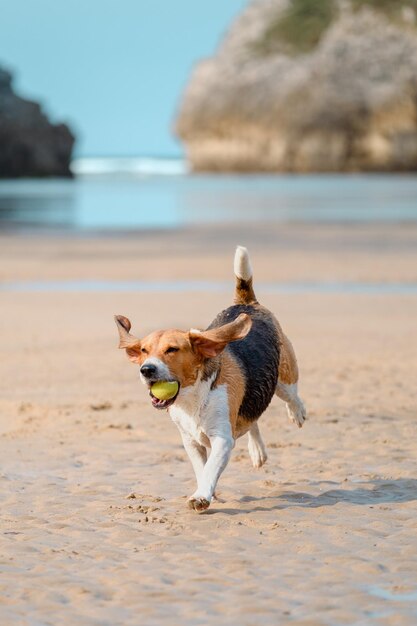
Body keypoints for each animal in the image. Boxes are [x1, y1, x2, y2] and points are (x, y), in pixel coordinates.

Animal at [114, 246, 306, 510]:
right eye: (144, 350)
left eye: (172, 349)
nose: (146, 369)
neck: (193, 397)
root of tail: (246, 303)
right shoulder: (190, 441)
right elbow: (201, 468)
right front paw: (208, 492)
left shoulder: (222, 439)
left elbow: (211, 468)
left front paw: (202, 496)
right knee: (253, 420)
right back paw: (257, 451)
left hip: (284, 379)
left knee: (292, 396)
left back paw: (297, 413)